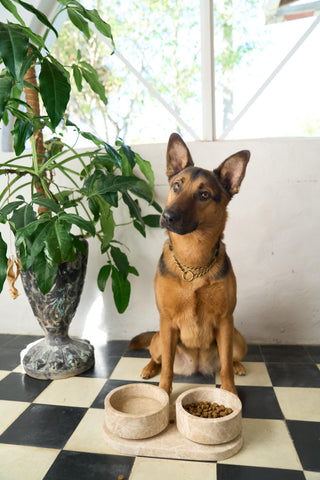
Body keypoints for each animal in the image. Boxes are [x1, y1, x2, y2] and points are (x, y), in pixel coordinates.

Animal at [129, 133, 250, 396]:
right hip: (159, 339)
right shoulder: (167, 322)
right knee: (159, 358)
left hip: (238, 339)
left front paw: (230, 393)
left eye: (203, 195)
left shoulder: (225, 321)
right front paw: (163, 395)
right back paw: (149, 368)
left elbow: (225, 366)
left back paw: (238, 366)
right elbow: (167, 368)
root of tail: (197, 366)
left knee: (230, 358)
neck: (193, 262)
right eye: (176, 186)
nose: (167, 217)